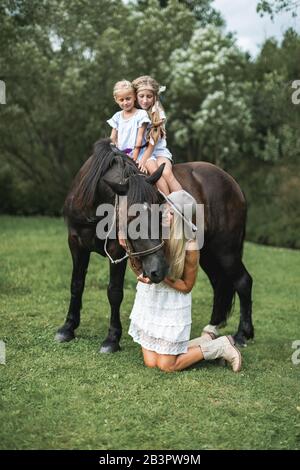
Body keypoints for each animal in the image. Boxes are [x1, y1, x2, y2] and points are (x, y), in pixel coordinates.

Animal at [55, 138, 253, 350]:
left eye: (160, 215)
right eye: (131, 219)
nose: (160, 270)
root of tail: (232, 182)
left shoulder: (117, 251)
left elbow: (114, 292)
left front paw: (112, 338)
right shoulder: (76, 244)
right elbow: (76, 284)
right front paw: (68, 327)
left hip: (226, 250)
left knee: (243, 281)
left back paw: (242, 334)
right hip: (208, 251)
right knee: (219, 283)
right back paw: (212, 327)